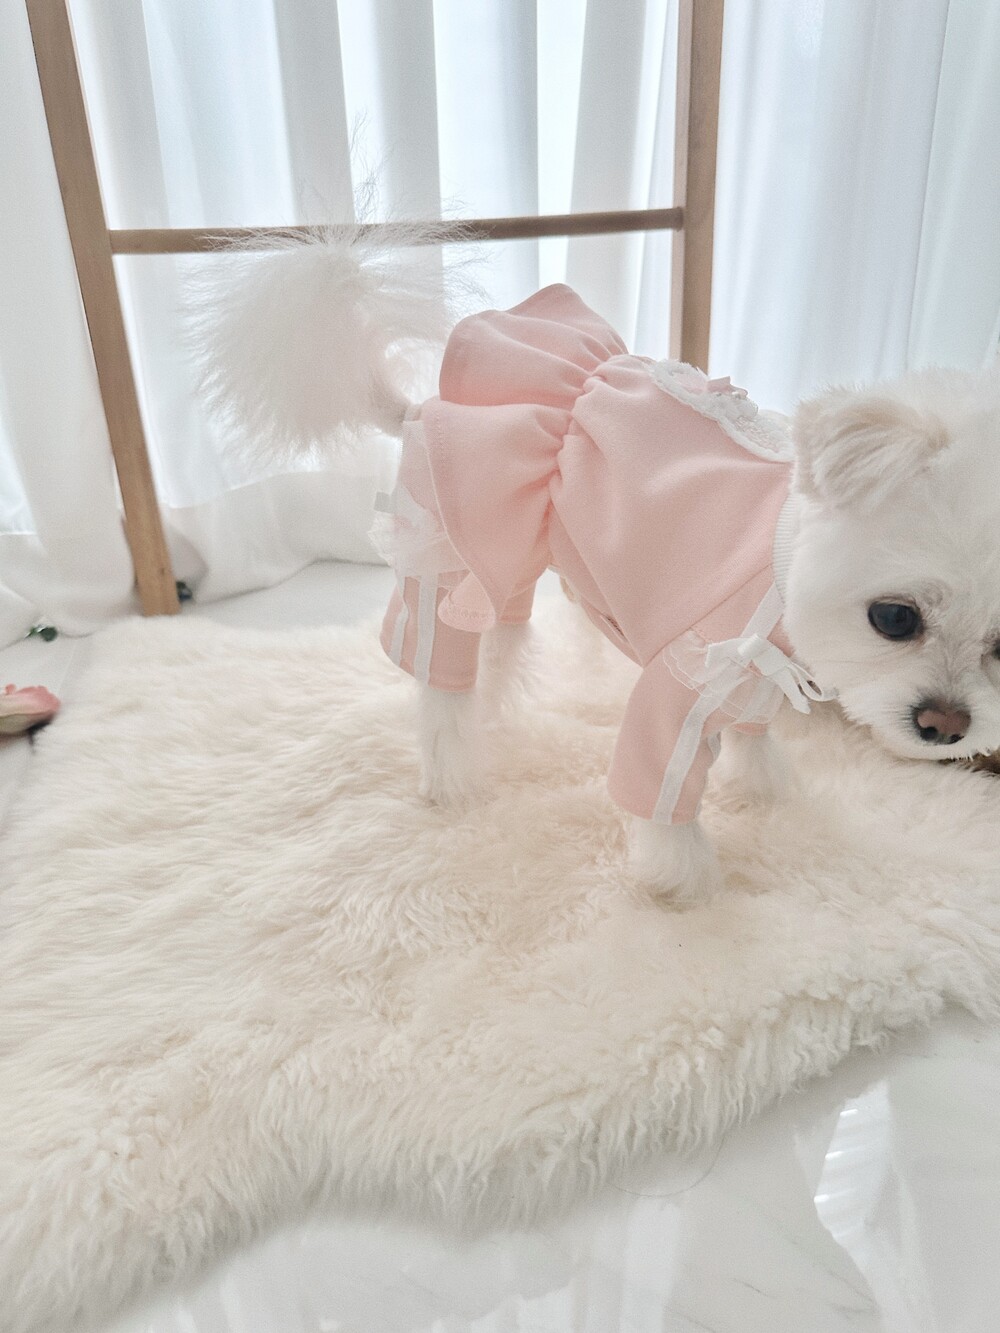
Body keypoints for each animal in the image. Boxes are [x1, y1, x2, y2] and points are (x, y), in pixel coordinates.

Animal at [189, 228, 1000, 903]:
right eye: (895, 617)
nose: (945, 726)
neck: (783, 550)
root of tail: (421, 403)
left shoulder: (756, 672)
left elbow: (754, 732)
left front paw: (765, 786)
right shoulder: (689, 675)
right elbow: (662, 792)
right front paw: (684, 883)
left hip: (508, 559)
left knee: (499, 642)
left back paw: (497, 710)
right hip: (441, 551)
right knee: (438, 675)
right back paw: (452, 776)